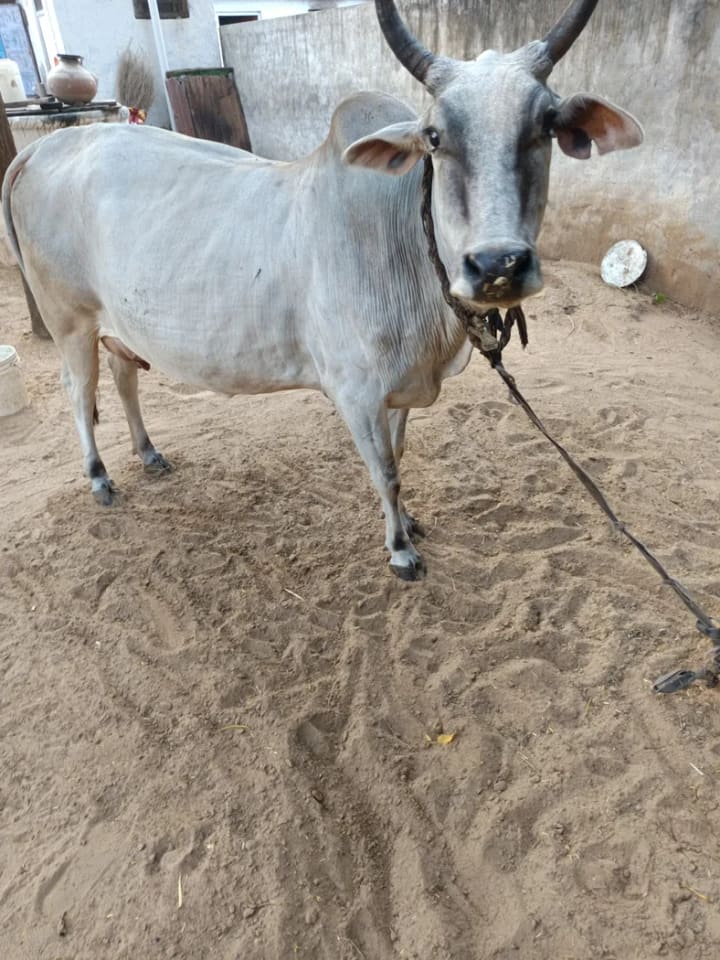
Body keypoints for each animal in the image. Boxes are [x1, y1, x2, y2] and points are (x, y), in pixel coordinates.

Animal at [2, 0, 641, 581]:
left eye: (547, 125)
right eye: (434, 136)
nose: (497, 264)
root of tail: (39, 147)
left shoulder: (398, 390)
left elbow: (399, 457)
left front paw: (410, 524)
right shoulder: (355, 392)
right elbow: (385, 470)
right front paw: (400, 550)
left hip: (118, 322)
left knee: (123, 375)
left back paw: (148, 453)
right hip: (69, 321)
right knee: (79, 391)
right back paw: (99, 475)